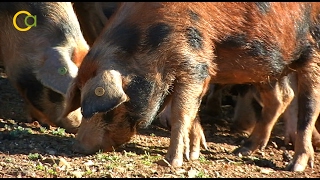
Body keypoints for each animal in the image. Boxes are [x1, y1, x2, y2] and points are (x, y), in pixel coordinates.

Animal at [62, 2, 320, 172]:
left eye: (105, 110)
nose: (77, 146)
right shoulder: (198, 71)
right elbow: (192, 112)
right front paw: (193, 154)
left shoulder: (193, 64)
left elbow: (181, 114)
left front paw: (169, 162)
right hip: (268, 68)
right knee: (282, 98)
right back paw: (242, 150)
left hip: (313, 55)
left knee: (308, 108)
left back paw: (295, 166)